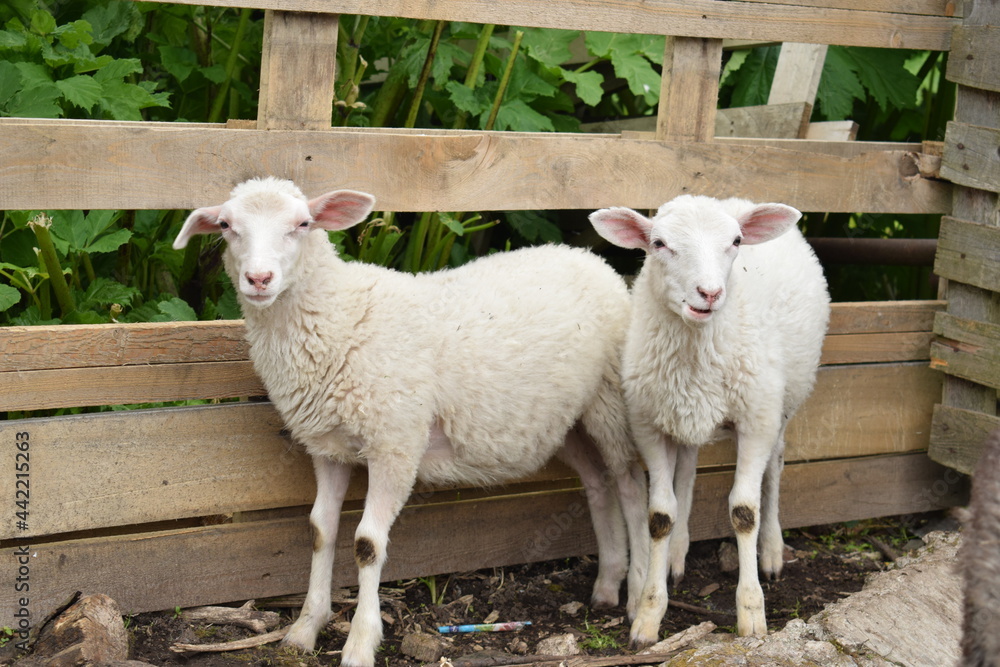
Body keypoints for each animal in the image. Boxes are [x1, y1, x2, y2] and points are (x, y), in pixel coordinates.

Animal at [173, 177, 649, 667]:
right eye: (225, 226)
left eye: (303, 224)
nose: (259, 279)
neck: (340, 317)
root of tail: (591, 258)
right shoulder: (327, 447)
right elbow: (321, 530)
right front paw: (305, 629)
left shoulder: (396, 443)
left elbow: (367, 544)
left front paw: (360, 643)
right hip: (566, 420)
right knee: (598, 483)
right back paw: (608, 585)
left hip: (609, 400)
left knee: (632, 485)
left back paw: (640, 602)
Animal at [589, 194, 830, 647]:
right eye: (659, 243)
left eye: (735, 242)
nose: (710, 293)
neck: (698, 346)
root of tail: (740, 201)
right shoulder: (648, 425)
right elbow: (660, 516)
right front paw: (648, 616)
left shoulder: (756, 420)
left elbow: (744, 512)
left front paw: (751, 614)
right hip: (684, 412)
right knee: (687, 466)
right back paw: (677, 554)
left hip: (785, 399)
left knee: (776, 465)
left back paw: (772, 551)